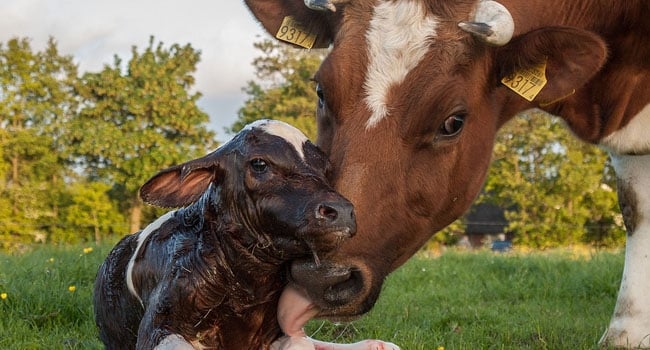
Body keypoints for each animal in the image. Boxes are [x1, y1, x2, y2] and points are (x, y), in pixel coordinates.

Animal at [93, 119, 398, 348]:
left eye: (325, 168)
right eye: (259, 163)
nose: (342, 211)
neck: (248, 283)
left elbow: (302, 343)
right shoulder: (159, 324)